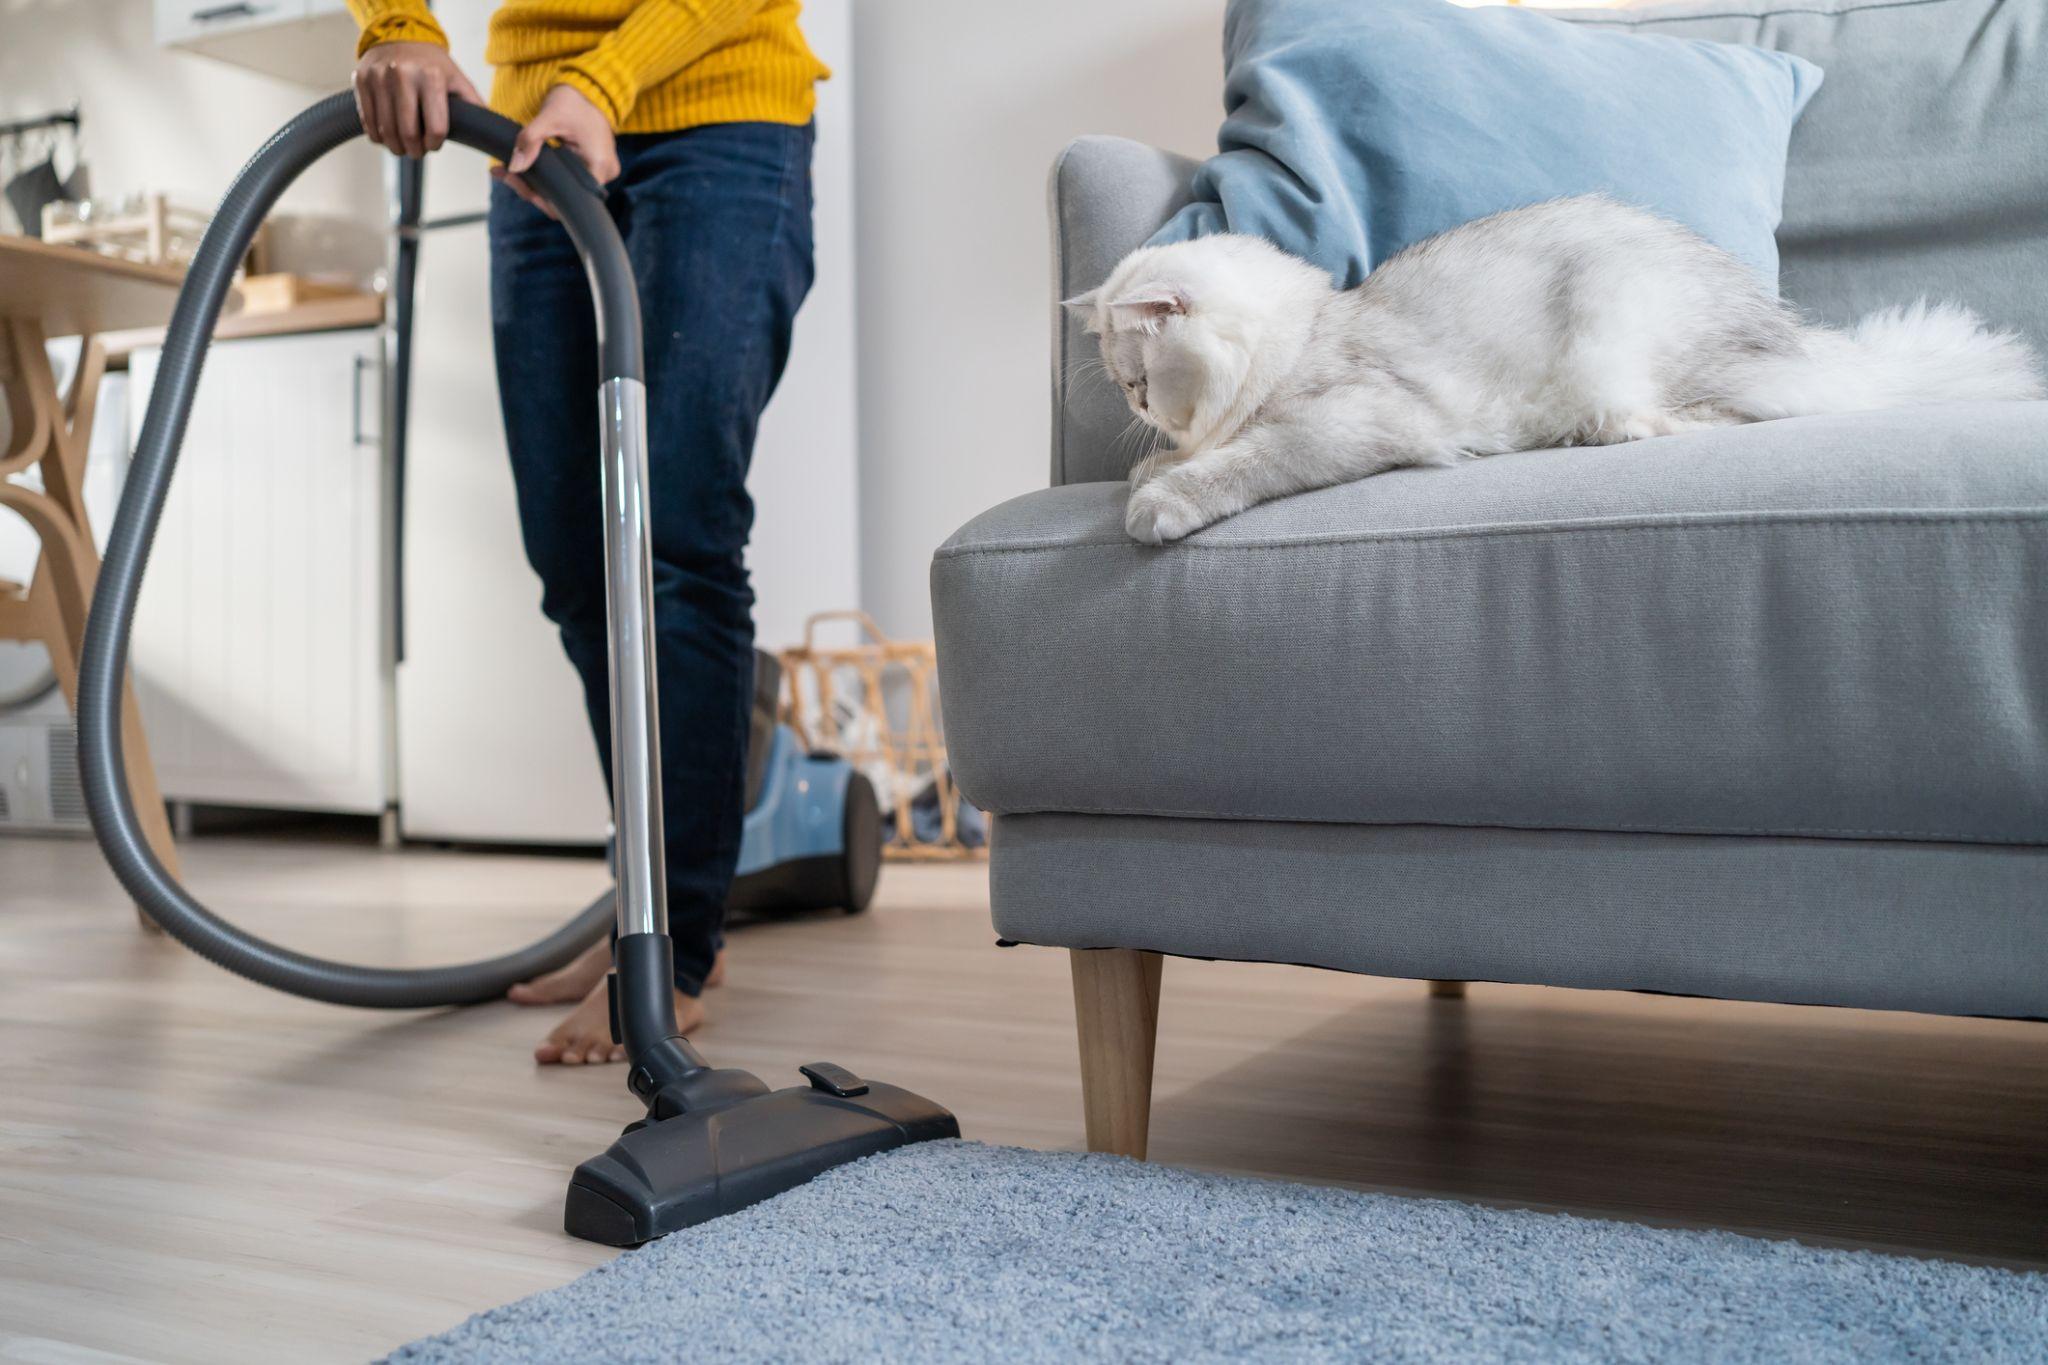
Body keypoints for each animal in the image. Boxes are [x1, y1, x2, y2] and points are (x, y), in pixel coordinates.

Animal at [1073, 196, 2048, 544]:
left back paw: (1606, 433)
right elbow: (1200, 455)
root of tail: (1802, 334)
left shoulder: (1354, 418)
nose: (1139, 408)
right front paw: (1154, 470)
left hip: (1625, 329)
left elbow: (1243, 460)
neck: (1310, 328)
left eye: (1137, 379)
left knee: (1717, 415)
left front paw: (1157, 500)